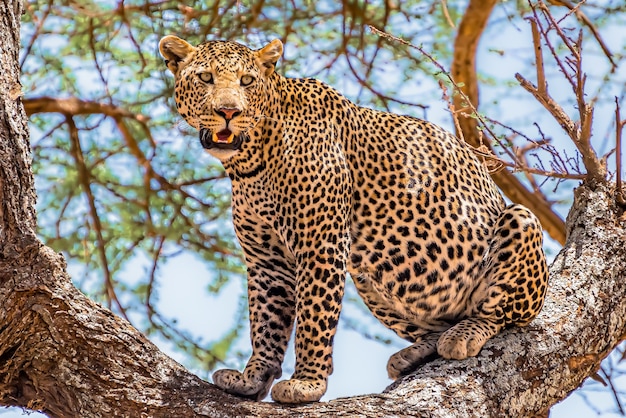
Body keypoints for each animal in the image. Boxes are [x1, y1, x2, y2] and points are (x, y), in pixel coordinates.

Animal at [160, 35, 544, 404]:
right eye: (206, 78)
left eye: (247, 81)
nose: (228, 111)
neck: (249, 162)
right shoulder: (267, 260)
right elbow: (266, 321)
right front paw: (252, 378)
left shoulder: (321, 244)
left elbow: (314, 317)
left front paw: (306, 384)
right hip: (372, 277)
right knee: (435, 326)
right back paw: (415, 353)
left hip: (520, 222)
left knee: (501, 314)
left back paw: (464, 334)